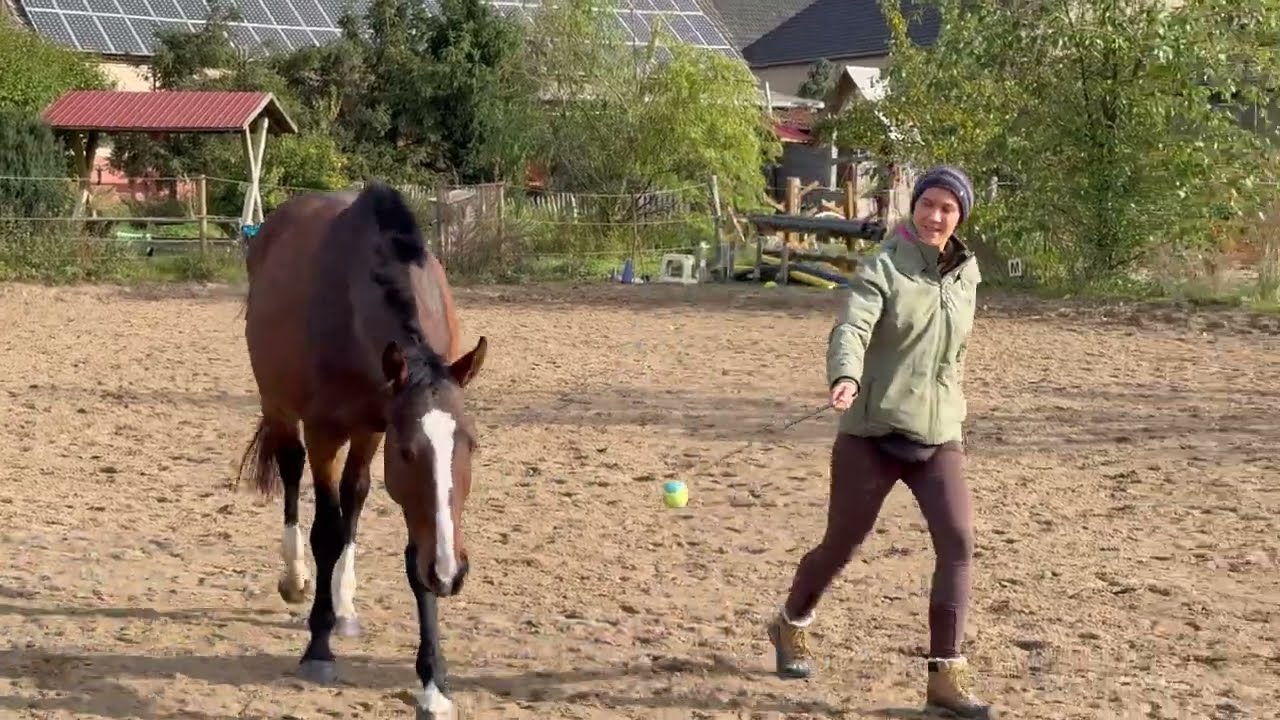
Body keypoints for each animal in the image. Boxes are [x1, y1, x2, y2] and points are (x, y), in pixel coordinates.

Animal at [235, 181, 487, 719]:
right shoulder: (326, 432)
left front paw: (434, 683)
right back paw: (297, 580)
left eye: (471, 444)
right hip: (280, 408)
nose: (451, 572)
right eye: (409, 451)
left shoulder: (378, 428)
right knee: (293, 474)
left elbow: (409, 552)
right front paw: (318, 648)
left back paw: (344, 606)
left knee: (354, 496)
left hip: (363, 435)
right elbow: (326, 533)